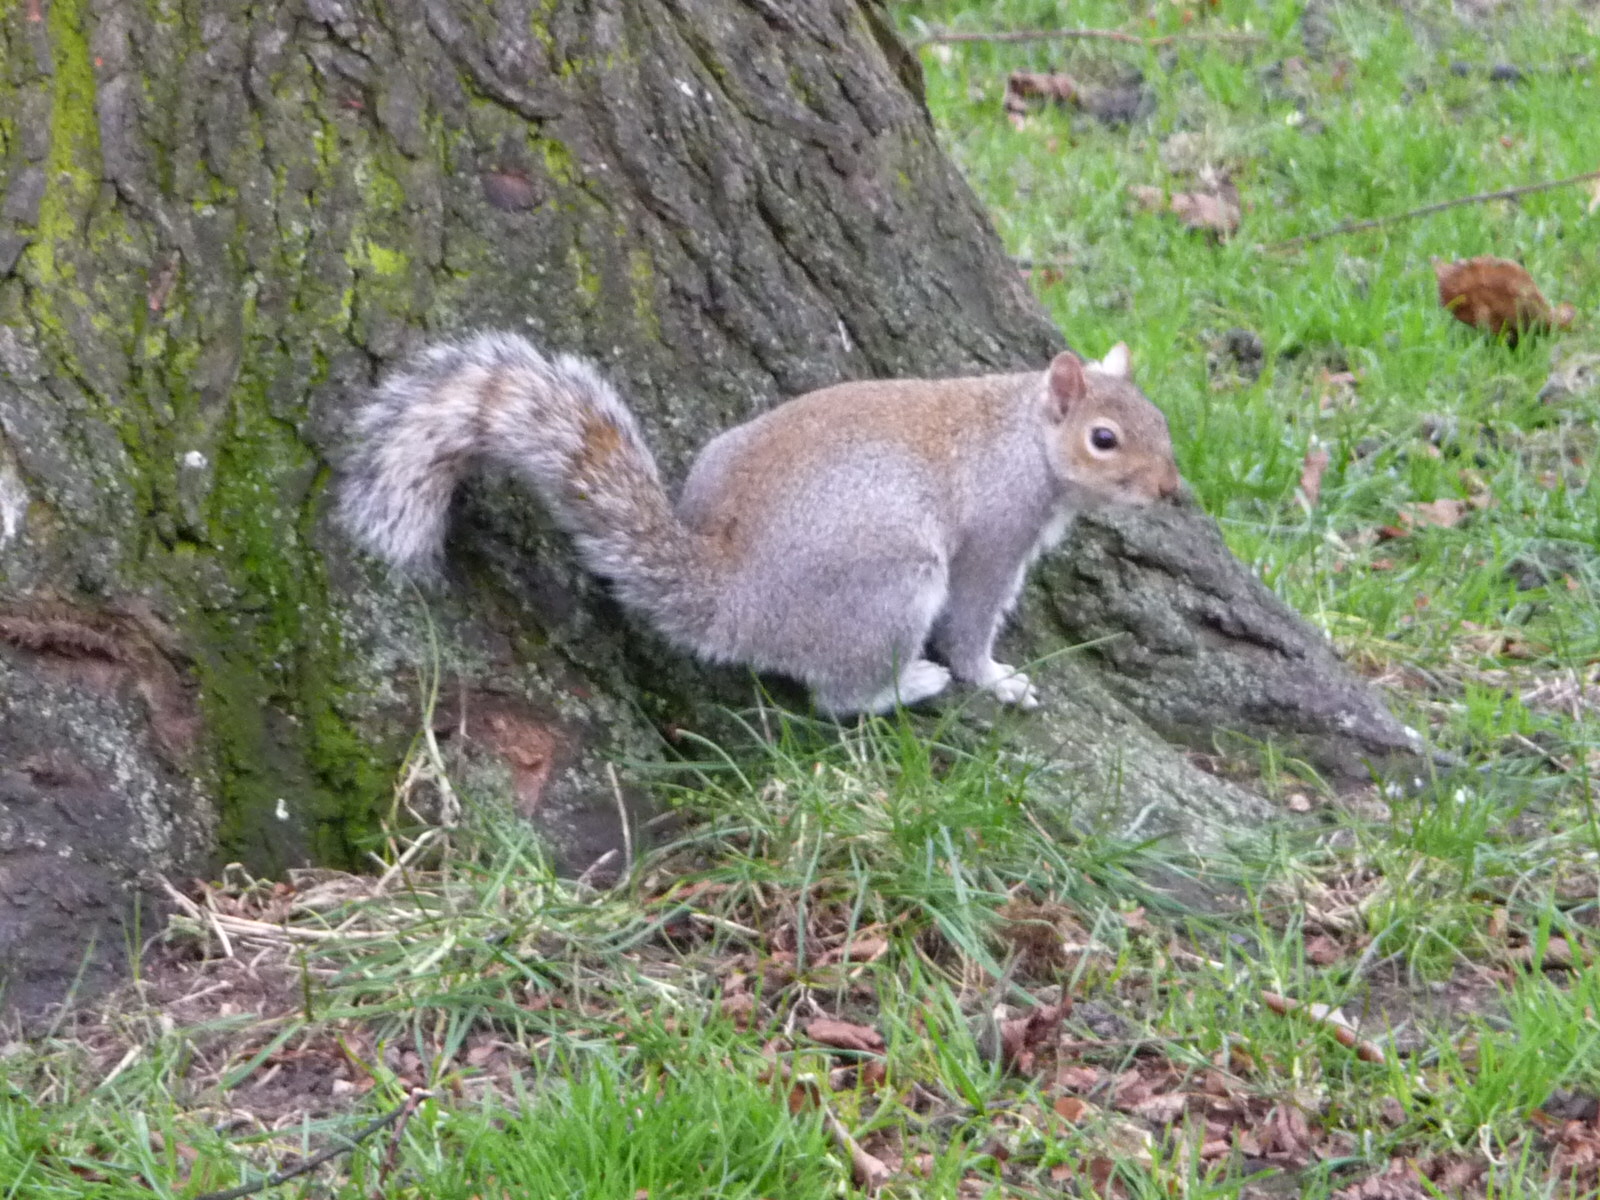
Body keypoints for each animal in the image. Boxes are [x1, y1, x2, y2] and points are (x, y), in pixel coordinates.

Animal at [337, 334, 1184, 720]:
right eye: (1104, 438)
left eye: (1162, 419)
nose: (1172, 489)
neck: (1021, 435)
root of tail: (732, 590)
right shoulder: (994, 538)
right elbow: (973, 621)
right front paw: (997, 680)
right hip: (890, 586)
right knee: (840, 695)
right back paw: (910, 682)